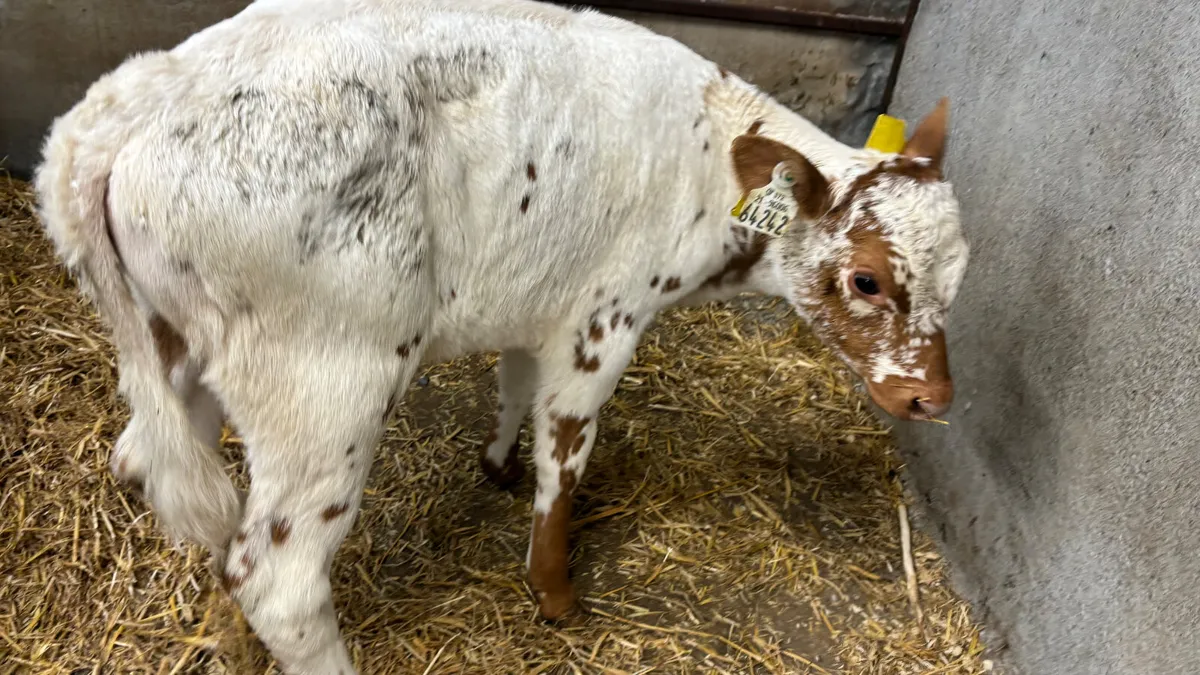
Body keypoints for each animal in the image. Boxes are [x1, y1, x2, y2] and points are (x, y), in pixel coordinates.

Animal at [33, 0, 969, 671]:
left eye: (960, 276)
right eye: (867, 278)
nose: (932, 395)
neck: (710, 153)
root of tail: (127, 109)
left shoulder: (537, 300)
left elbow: (515, 387)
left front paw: (496, 463)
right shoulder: (604, 318)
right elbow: (568, 453)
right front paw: (554, 592)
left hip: (175, 347)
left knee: (150, 462)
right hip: (326, 382)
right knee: (279, 579)